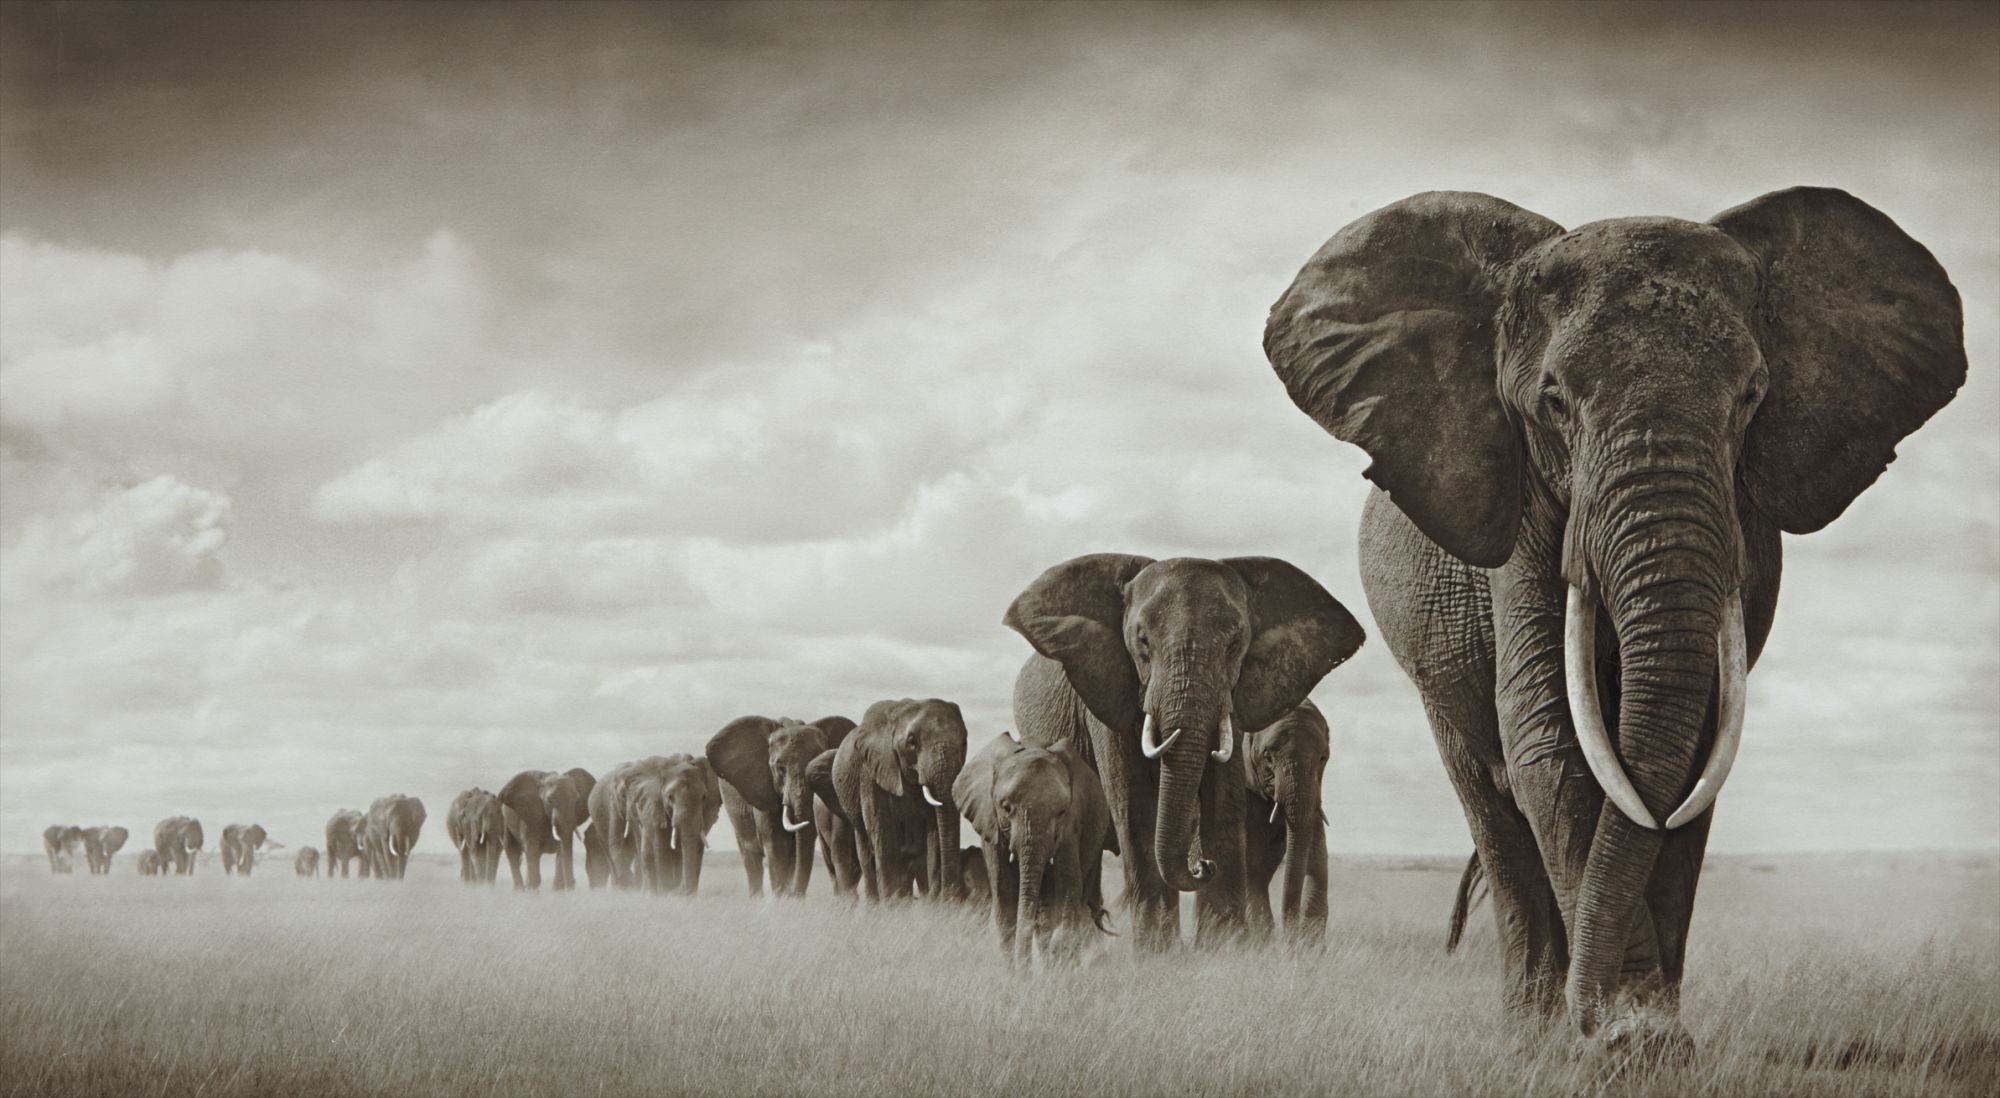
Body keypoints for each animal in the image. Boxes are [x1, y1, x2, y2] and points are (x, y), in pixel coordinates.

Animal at [706, 715, 856, 898]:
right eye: (780, 768)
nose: (793, 896)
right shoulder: (762, 790)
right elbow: (777, 846)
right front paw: (781, 900)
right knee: (750, 856)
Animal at [830, 698, 969, 904]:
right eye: (911, 742)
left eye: (964, 742)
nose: (950, 900)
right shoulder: (872, 772)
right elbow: (883, 835)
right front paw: (891, 907)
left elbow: (934, 836)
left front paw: (933, 906)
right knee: (867, 854)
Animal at [953, 732, 1116, 964]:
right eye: (1006, 808)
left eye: (1061, 812)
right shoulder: (990, 821)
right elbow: (1004, 894)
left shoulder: (1071, 825)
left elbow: (1067, 888)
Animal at [1244, 702, 1333, 946]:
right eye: (1268, 757)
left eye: (1323, 758)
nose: (1289, 937)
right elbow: (1251, 868)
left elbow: (1317, 862)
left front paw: (1306, 950)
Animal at [1262, 188, 1966, 1049]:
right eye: (1555, 401)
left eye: (1752, 396)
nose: (1600, 1022)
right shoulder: (1524, 509)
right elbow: (1549, 738)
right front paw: (1623, 1043)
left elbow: (1697, 748)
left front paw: (1647, 1036)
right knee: (1491, 804)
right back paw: (1532, 1032)